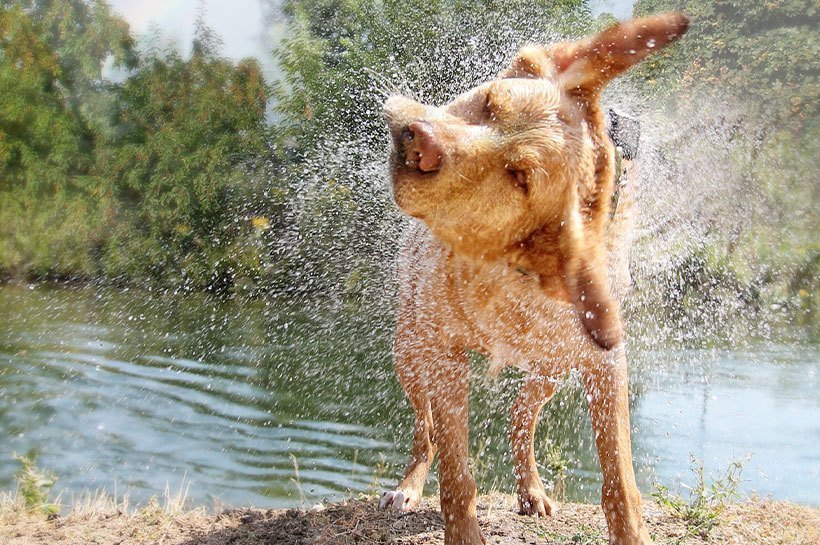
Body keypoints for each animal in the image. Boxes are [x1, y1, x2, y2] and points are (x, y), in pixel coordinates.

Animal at [382, 12, 688, 544]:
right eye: (489, 102)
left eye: (518, 176)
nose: (419, 139)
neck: (508, 266)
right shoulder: (444, 354)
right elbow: (456, 476)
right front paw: (462, 529)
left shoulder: (605, 363)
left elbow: (620, 479)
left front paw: (629, 529)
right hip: (410, 352)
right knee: (425, 429)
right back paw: (408, 486)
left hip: (551, 366)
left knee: (519, 415)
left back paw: (531, 489)